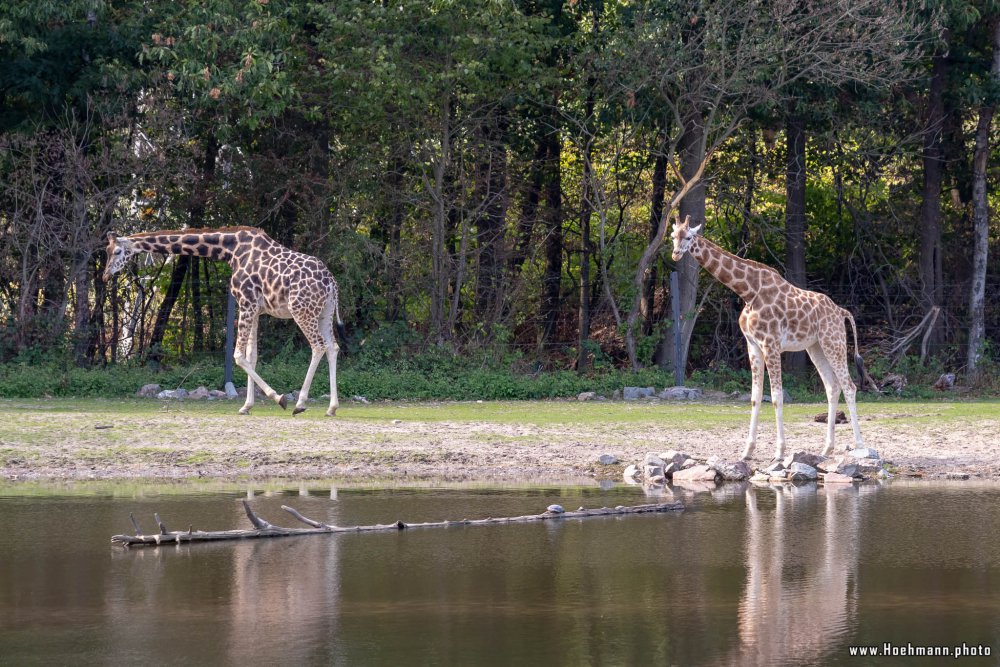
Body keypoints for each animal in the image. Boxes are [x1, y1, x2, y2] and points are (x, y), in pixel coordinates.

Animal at [104, 230, 348, 418]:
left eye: (117, 251)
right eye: (107, 251)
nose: (106, 275)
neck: (230, 251)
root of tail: (332, 283)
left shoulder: (246, 302)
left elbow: (238, 355)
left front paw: (278, 398)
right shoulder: (256, 308)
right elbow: (252, 356)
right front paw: (246, 406)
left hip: (302, 311)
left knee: (318, 346)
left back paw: (300, 403)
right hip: (324, 312)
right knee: (333, 347)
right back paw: (332, 408)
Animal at [672, 217, 868, 462]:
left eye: (688, 236)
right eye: (673, 236)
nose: (675, 254)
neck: (748, 292)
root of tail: (841, 312)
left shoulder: (771, 345)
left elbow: (776, 396)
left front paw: (780, 451)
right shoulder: (753, 345)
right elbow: (755, 397)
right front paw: (747, 451)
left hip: (834, 342)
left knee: (849, 386)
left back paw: (860, 445)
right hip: (816, 346)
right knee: (832, 387)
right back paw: (826, 449)